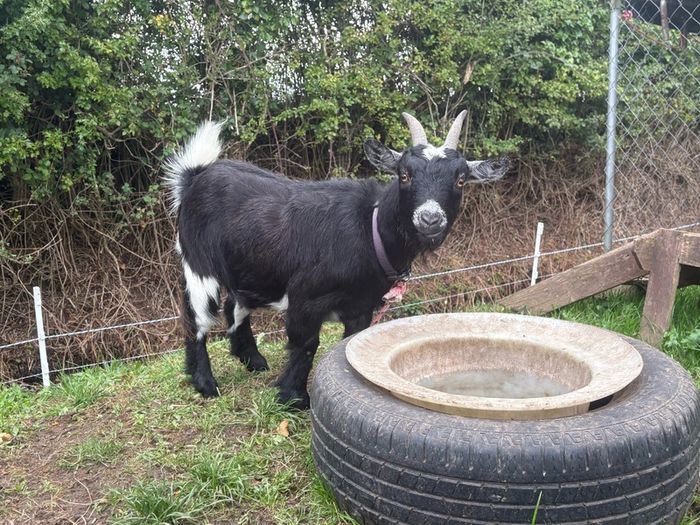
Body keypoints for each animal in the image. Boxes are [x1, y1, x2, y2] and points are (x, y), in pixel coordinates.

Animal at [164, 111, 508, 408]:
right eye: (404, 175)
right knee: (196, 318)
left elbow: (349, 343)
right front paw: (294, 398)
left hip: (250, 268)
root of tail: (195, 177)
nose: (429, 218)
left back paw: (254, 361)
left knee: (234, 304)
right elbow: (306, 345)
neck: (370, 230)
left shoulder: (361, 307)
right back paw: (206, 383)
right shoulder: (305, 298)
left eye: (461, 180)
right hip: (197, 262)